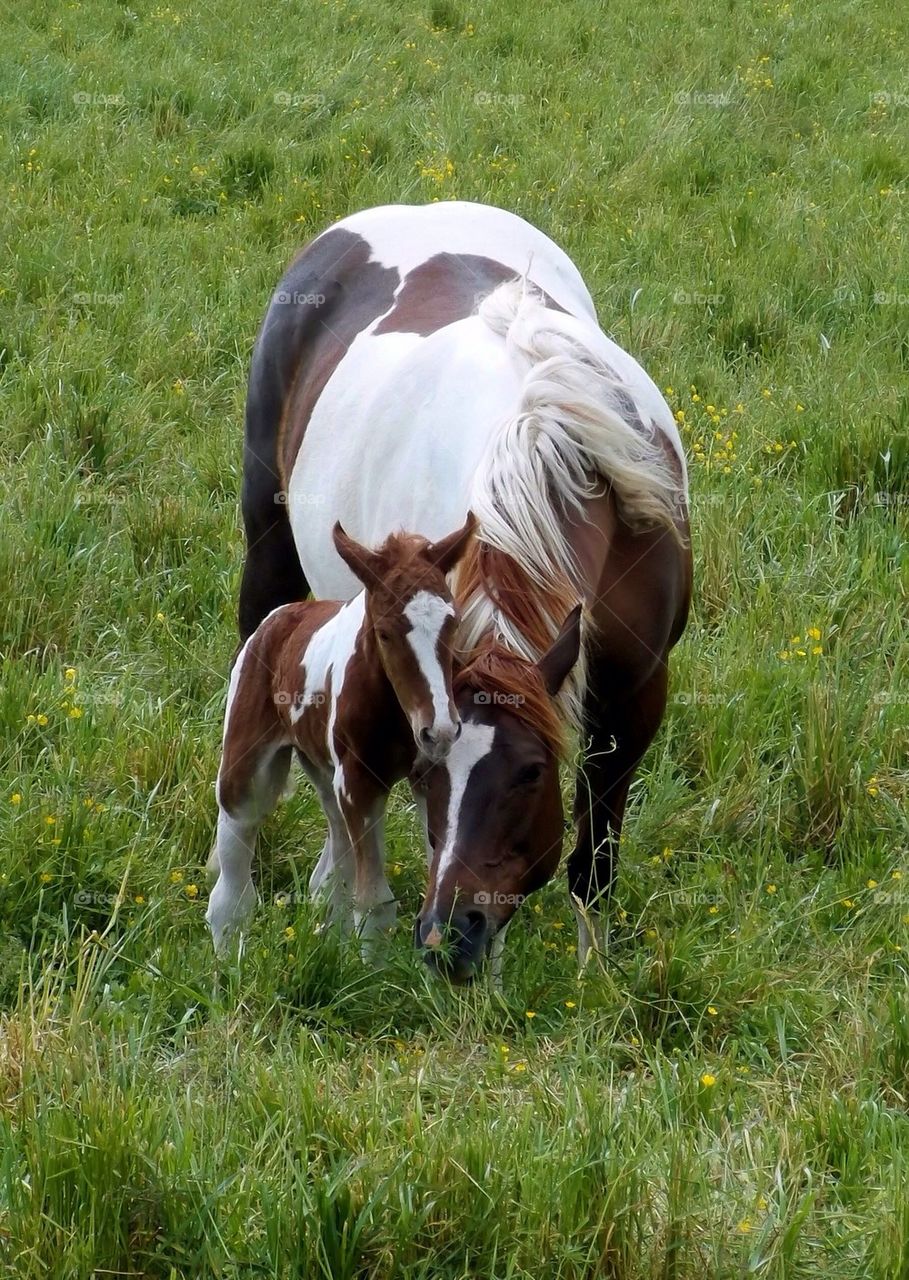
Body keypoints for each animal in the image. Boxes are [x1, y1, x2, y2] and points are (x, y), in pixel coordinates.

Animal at [208, 514, 476, 957]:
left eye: (451, 624)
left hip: (324, 775)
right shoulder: (359, 782)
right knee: (234, 872)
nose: (439, 730)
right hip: (246, 766)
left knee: (331, 869)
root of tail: (280, 616)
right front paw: (372, 973)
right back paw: (227, 960)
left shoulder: (423, 777)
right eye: (385, 632)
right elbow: (375, 903)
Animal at [235, 199, 691, 983]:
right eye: (429, 776)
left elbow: (592, 858)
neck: (543, 451)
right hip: (268, 556)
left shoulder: (635, 699)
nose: (450, 938)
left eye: (531, 773)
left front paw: (592, 978)